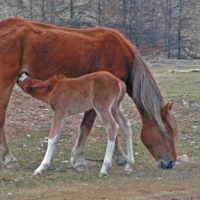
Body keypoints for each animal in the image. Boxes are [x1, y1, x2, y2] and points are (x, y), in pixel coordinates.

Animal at [0, 17, 178, 171]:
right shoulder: (97, 101)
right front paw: (79, 160)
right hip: (6, 84)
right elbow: (87, 126)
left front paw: (120, 157)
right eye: (166, 131)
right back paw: (9, 159)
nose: (170, 162)